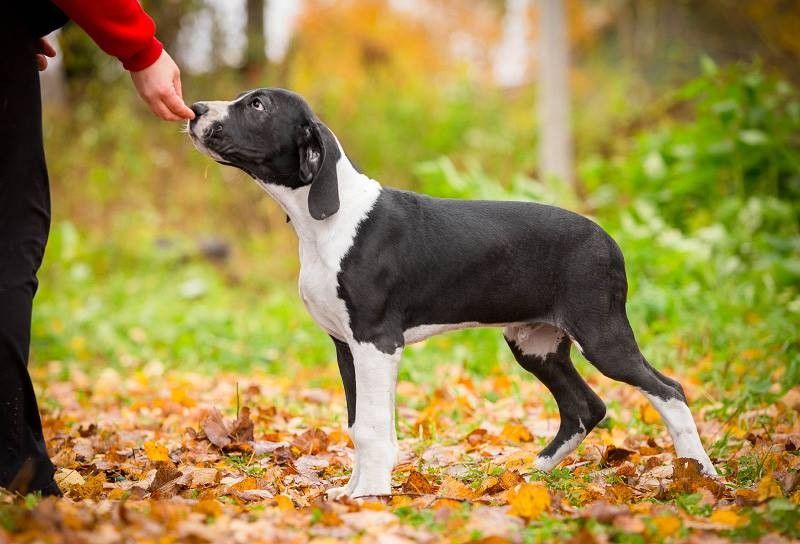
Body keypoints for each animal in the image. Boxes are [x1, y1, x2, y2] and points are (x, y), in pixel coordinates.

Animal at [187, 88, 717, 498]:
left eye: (257, 105)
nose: (194, 109)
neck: (326, 222)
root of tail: (608, 239)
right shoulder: (347, 347)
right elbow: (360, 424)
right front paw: (353, 489)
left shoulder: (377, 342)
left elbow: (373, 426)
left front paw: (371, 495)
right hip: (535, 344)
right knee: (585, 406)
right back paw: (532, 474)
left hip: (601, 335)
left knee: (668, 389)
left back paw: (701, 474)